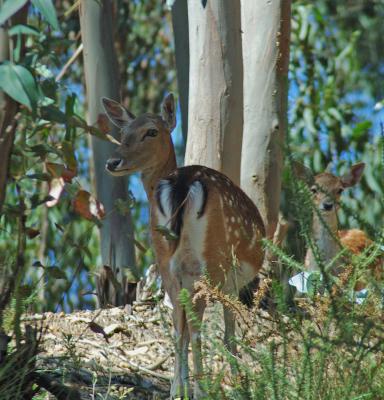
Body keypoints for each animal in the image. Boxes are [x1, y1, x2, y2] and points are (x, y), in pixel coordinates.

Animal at [101, 94, 264, 400]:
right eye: (123, 133)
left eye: (151, 131)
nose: (113, 161)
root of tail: (183, 183)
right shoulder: (229, 283)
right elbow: (228, 333)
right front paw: (238, 383)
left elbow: (185, 326)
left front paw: (184, 384)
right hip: (210, 261)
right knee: (197, 327)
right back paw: (202, 388)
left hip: (165, 256)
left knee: (179, 324)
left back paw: (177, 388)